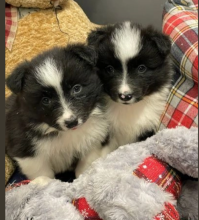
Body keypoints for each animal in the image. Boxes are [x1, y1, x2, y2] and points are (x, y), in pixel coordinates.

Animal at [5, 43, 109, 180]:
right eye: (45, 100)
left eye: (77, 88)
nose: (71, 122)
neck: (66, 134)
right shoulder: (27, 151)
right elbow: (43, 173)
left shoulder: (93, 141)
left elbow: (86, 164)